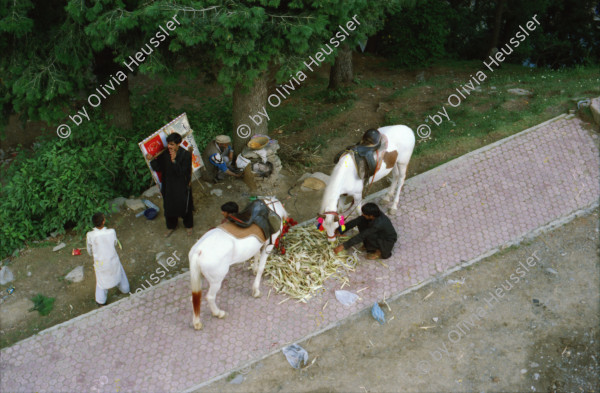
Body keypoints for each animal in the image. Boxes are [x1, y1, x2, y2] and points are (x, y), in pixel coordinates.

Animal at [190, 196, 288, 328]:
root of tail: (198, 251)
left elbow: (256, 255)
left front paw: (254, 269)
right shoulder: (268, 245)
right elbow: (261, 267)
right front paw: (256, 290)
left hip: (198, 277)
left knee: (195, 299)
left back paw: (197, 322)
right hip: (216, 281)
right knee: (210, 297)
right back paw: (219, 313)